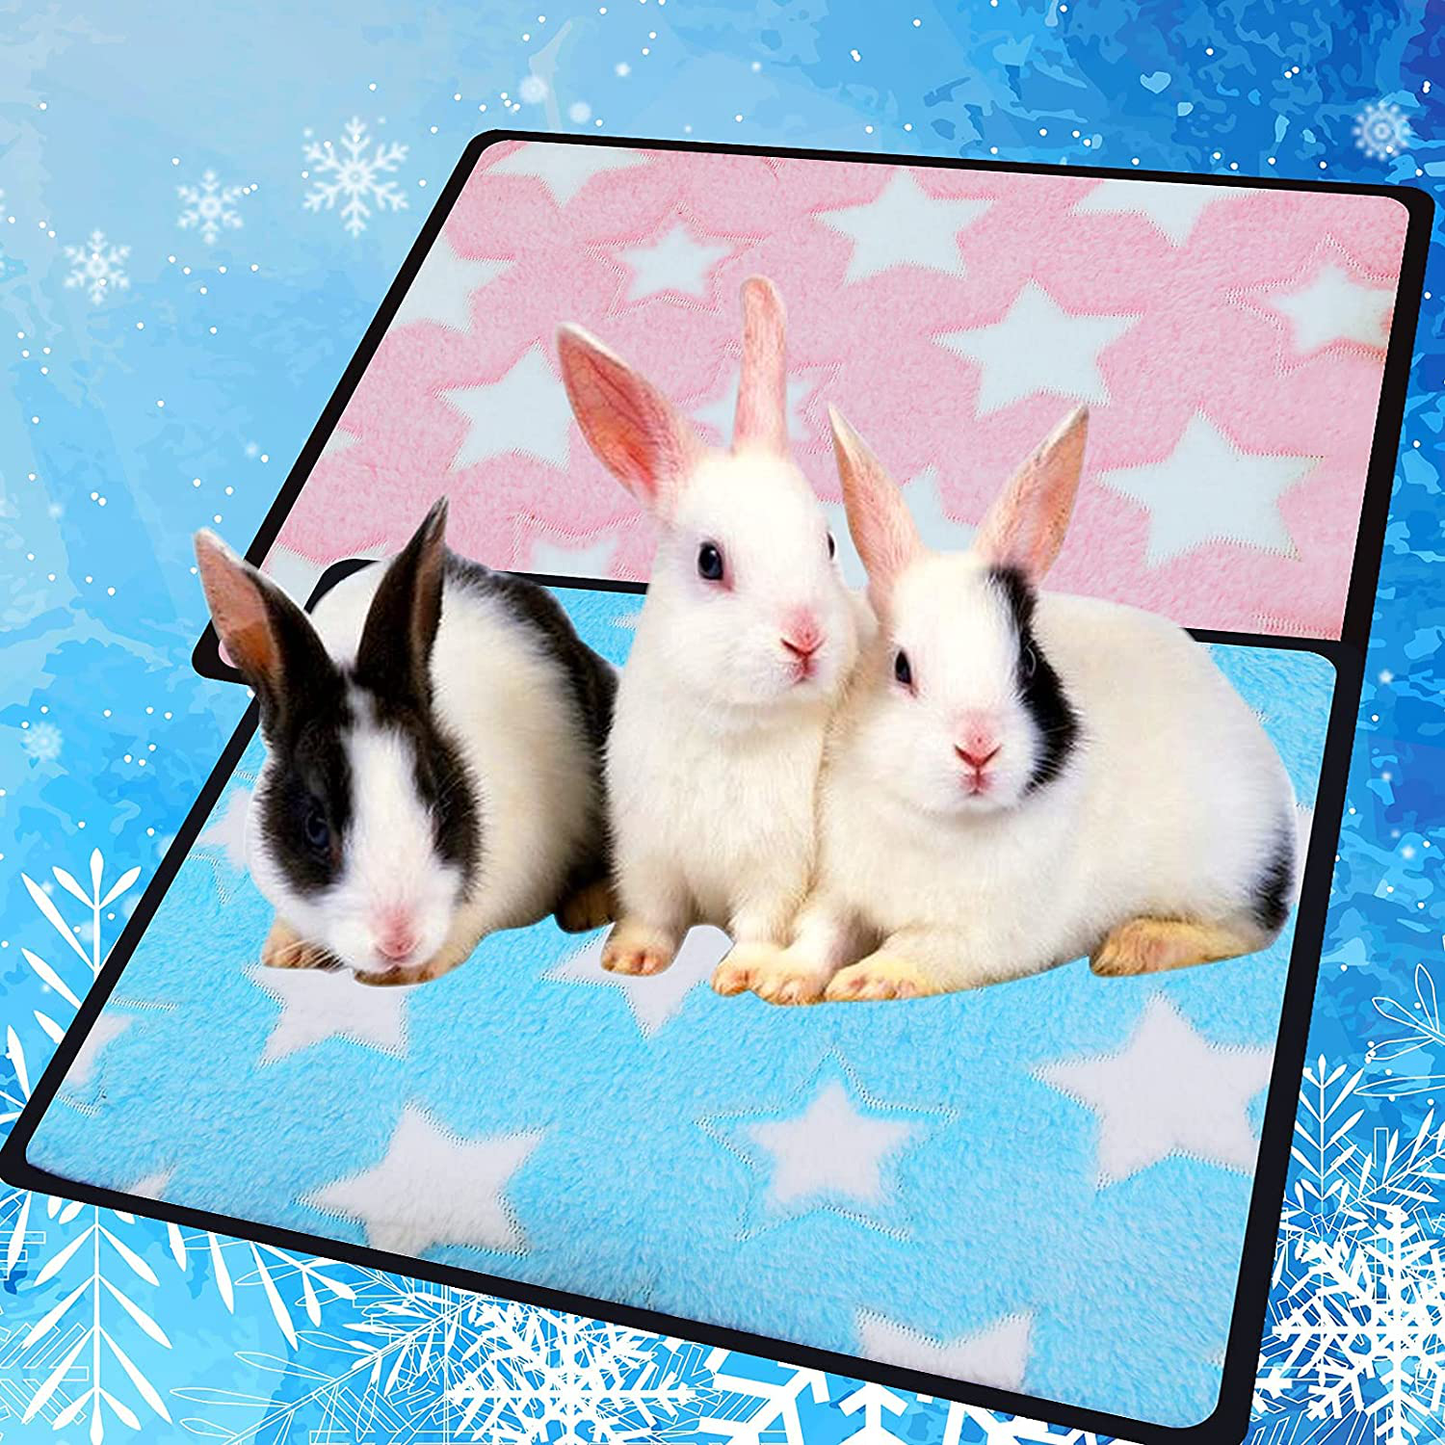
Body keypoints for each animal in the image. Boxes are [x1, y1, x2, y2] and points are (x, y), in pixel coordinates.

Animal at [193, 498, 618, 988]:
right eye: (315, 828)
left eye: (440, 805)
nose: (398, 942)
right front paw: (286, 952)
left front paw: (407, 974)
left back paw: (591, 908)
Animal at [555, 276, 866, 980]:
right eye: (709, 561)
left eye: (828, 543)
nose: (805, 639)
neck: (731, 722)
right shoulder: (648, 856)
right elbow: (652, 913)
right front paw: (630, 959)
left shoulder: (775, 869)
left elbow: (761, 922)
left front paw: (744, 974)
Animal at [737, 404, 1299, 1005]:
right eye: (901, 668)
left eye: (1028, 662)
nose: (978, 748)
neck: (941, 821)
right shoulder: (839, 891)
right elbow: (819, 933)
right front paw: (783, 980)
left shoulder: (983, 936)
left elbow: (919, 949)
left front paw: (867, 980)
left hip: (1226, 874)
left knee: (1246, 931)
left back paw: (1135, 946)